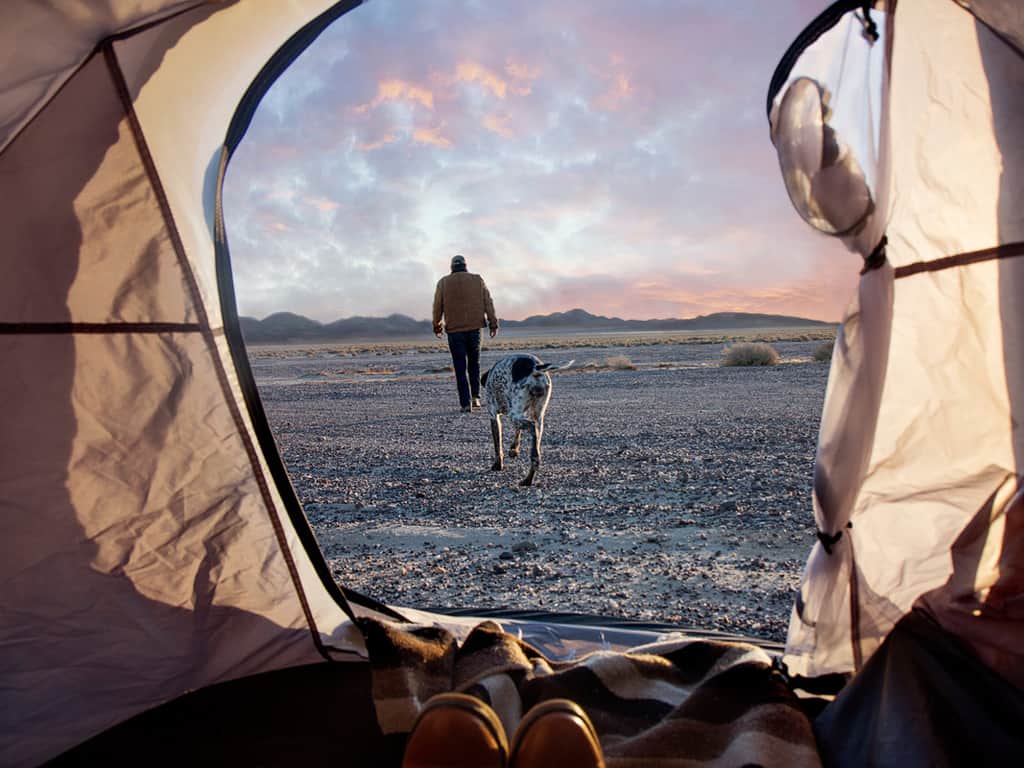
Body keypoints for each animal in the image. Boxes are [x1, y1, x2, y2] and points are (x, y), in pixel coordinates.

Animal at [481, 354, 573, 487]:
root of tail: (535, 367)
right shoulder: (520, 413)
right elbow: (517, 432)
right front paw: (514, 449)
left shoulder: (494, 416)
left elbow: (498, 446)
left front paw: (498, 465)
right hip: (537, 416)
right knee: (536, 439)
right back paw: (529, 478)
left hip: (514, 416)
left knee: (532, 427)